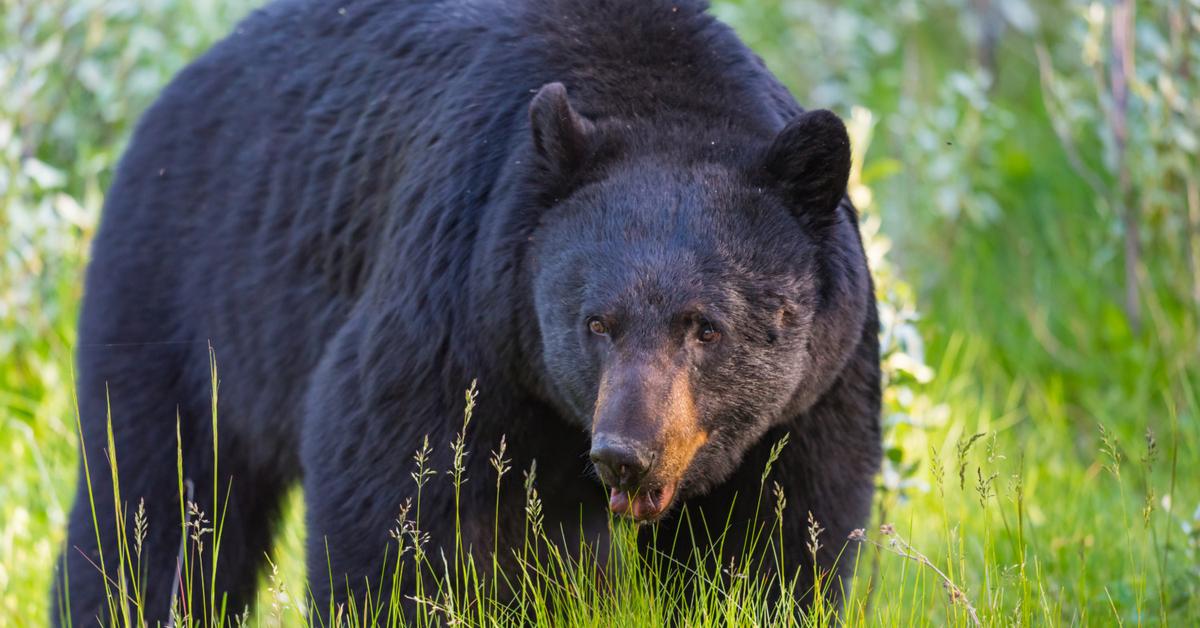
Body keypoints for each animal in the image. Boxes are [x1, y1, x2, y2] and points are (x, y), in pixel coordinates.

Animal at [56, 0, 883, 619]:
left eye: (705, 327)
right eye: (595, 322)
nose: (625, 452)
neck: (662, 99)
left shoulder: (818, 389)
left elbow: (777, 536)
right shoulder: (458, 309)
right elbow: (397, 501)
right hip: (185, 297)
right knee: (155, 499)